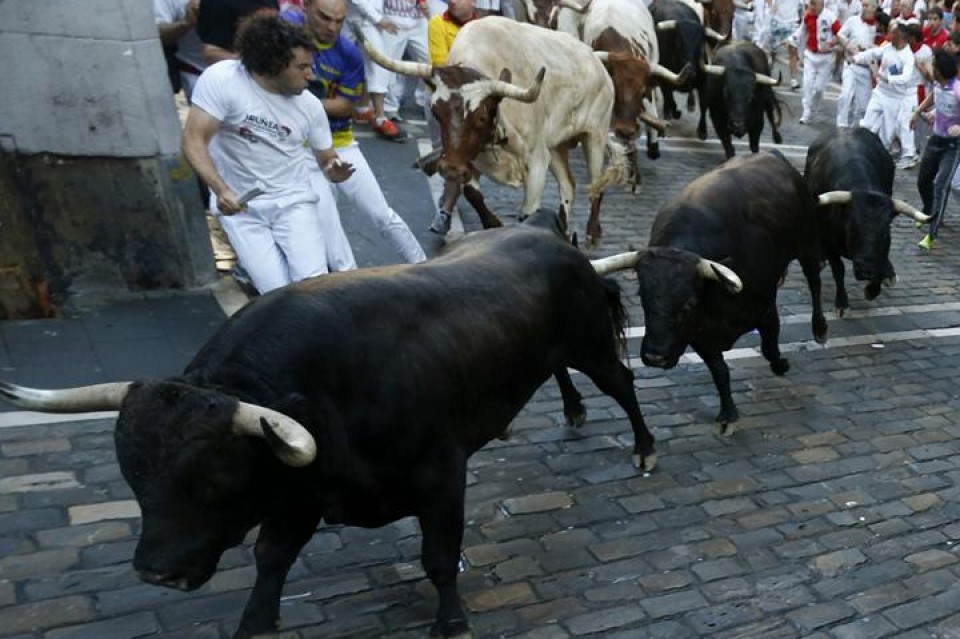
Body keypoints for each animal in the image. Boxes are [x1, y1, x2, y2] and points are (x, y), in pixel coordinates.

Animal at [0, 211, 656, 639]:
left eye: (214, 480)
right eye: (132, 476)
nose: (155, 572)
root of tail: (547, 234)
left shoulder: (441, 476)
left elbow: (439, 558)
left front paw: (451, 622)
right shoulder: (296, 488)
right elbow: (270, 557)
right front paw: (255, 624)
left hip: (592, 345)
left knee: (623, 386)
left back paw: (644, 449)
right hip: (551, 354)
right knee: (561, 376)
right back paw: (570, 412)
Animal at [358, 15, 624, 245]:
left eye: (482, 116)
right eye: (436, 112)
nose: (449, 169)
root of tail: (594, 59)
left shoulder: (536, 159)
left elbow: (528, 213)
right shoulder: (467, 157)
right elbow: (472, 194)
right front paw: (493, 225)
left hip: (595, 135)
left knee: (596, 186)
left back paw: (592, 234)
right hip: (556, 146)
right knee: (569, 185)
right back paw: (565, 230)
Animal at [628, 151, 828, 436]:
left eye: (688, 303)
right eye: (642, 297)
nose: (655, 356)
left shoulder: (764, 309)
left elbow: (769, 345)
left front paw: (780, 364)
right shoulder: (699, 335)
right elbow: (720, 373)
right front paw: (727, 414)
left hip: (808, 243)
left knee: (814, 281)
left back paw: (820, 328)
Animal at [804, 127, 928, 316]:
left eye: (886, 229)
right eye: (852, 225)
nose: (866, 271)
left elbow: (881, 261)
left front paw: (873, 288)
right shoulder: (829, 241)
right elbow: (838, 270)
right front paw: (842, 303)